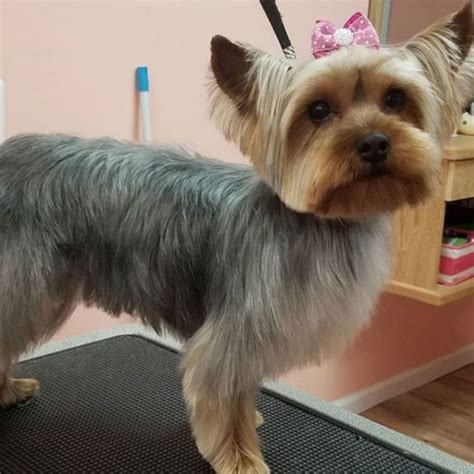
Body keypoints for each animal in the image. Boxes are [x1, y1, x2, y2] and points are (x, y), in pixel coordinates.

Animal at [0, 4, 472, 474]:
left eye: (395, 98)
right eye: (318, 109)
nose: (374, 142)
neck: (323, 222)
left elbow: (241, 393)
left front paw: (251, 421)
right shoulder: (233, 335)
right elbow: (224, 400)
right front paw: (241, 458)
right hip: (27, 284)